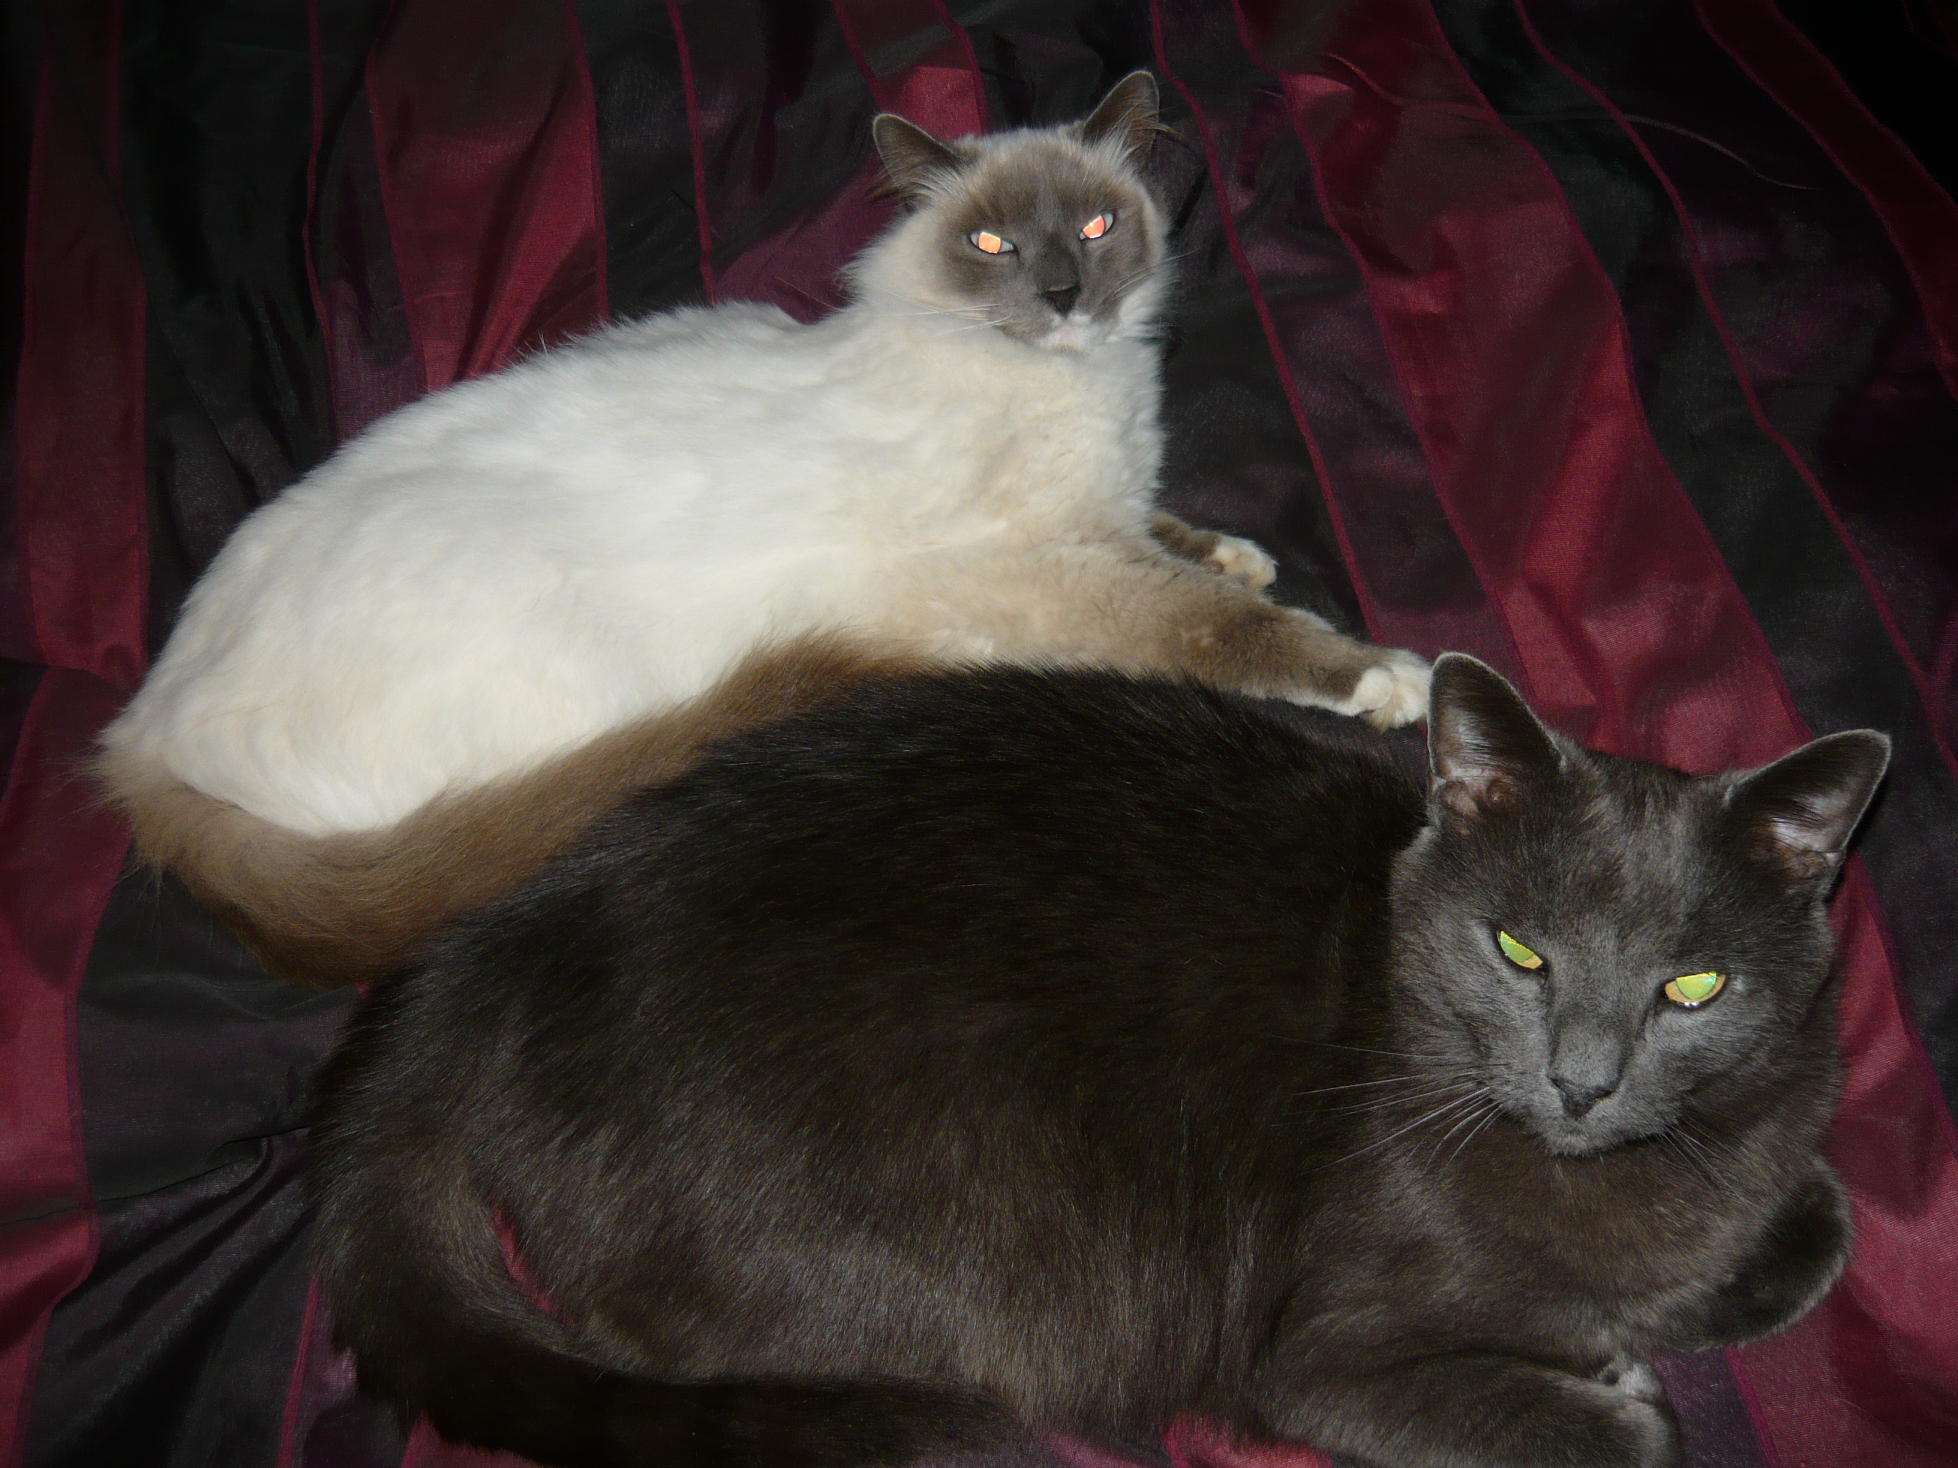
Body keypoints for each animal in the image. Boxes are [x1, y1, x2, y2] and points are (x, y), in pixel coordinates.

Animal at [96, 71, 1428, 988]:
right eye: (990, 242)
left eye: (1097, 228)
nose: (1062, 295)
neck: (1082, 385)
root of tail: (139, 735)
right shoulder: (1046, 575)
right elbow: (1226, 629)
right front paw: (1385, 675)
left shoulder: (1103, 518)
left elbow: (1182, 542)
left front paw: (1239, 549)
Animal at [307, 649, 1889, 1468]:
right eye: (1518, 952)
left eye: (1691, 986)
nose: (1581, 1078)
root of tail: (503, 936)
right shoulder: (1312, 1356)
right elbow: (1616, 1430)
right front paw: (1616, 1381)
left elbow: (1812, 1220)